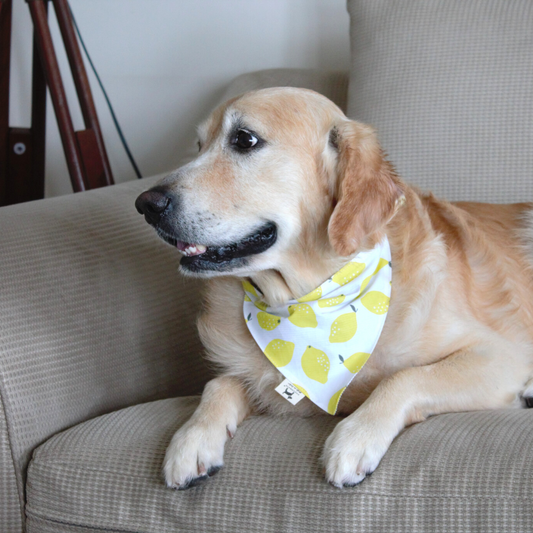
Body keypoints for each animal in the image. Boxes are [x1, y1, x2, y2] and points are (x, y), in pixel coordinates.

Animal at [134, 88, 532, 490]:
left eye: (244, 140)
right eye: (199, 145)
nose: (146, 204)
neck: (305, 300)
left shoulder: (500, 355)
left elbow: (406, 377)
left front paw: (355, 436)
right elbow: (218, 384)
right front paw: (192, 437)